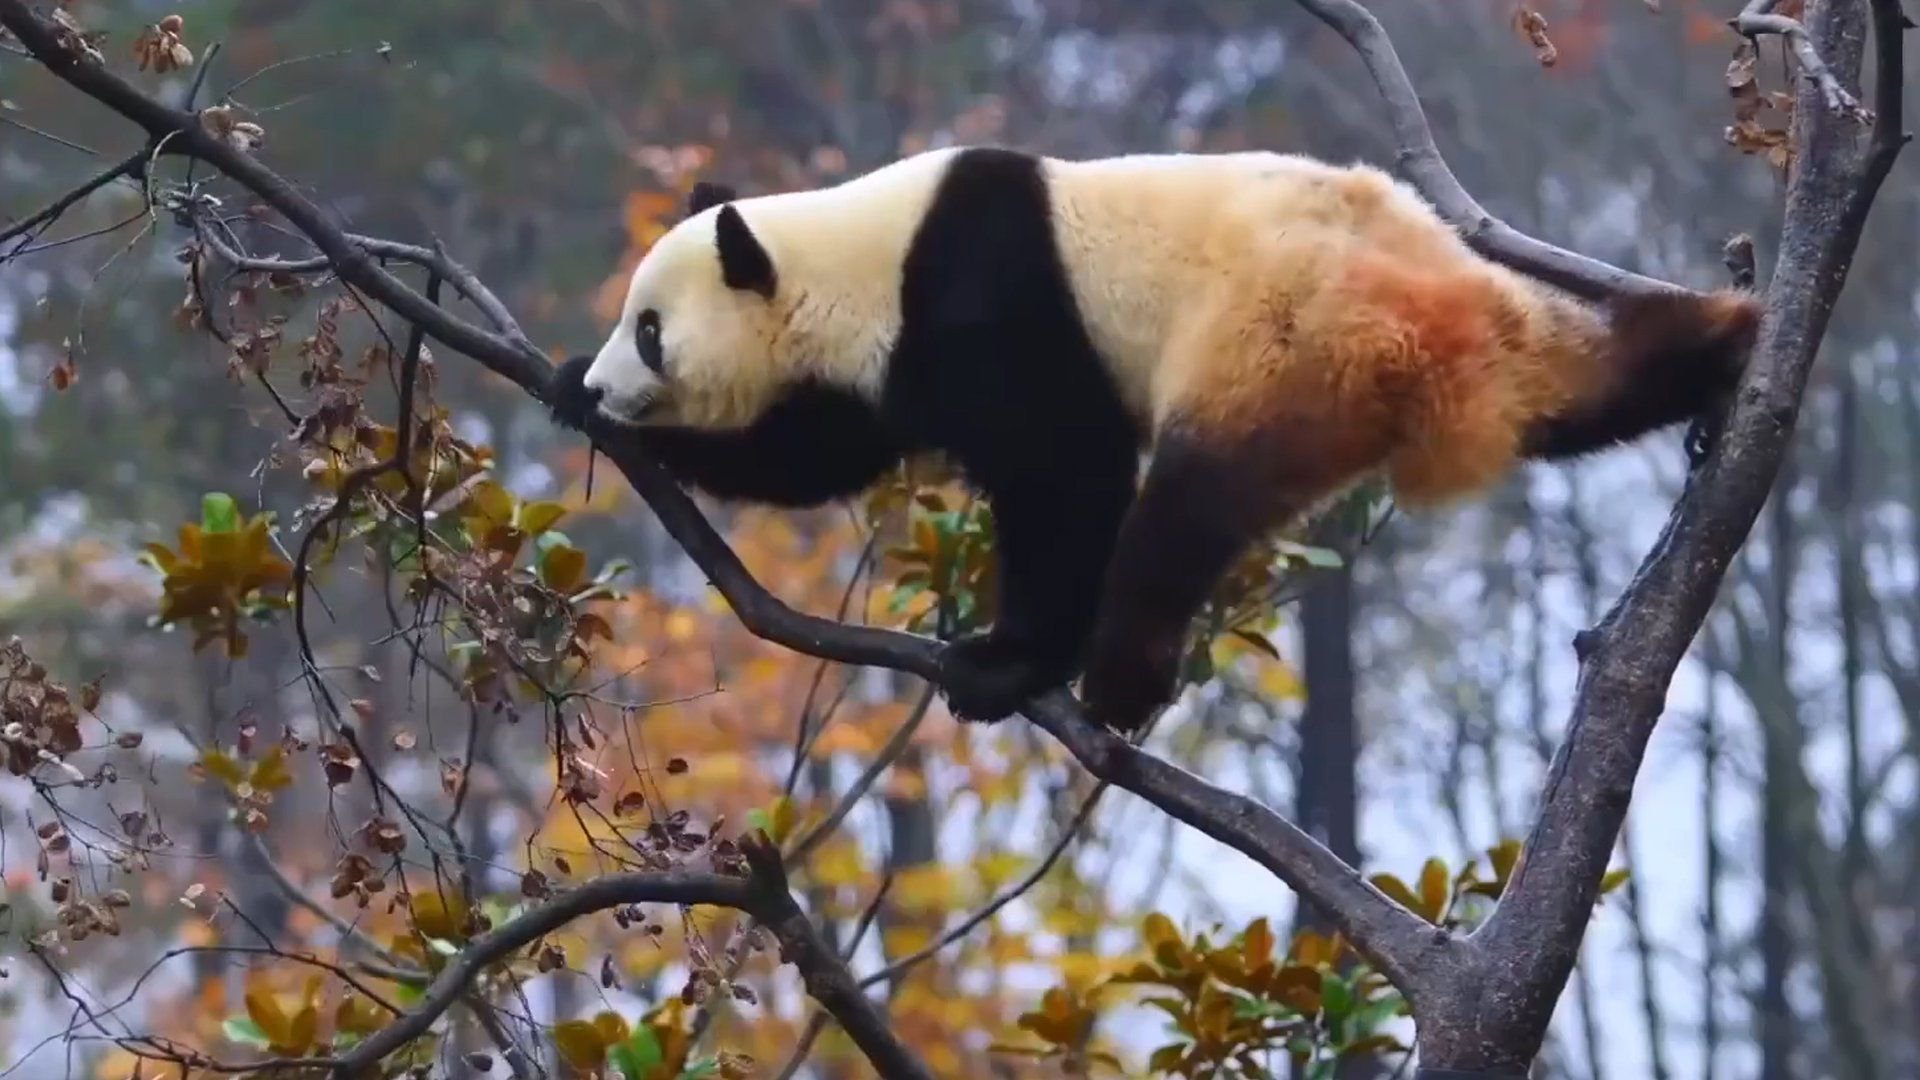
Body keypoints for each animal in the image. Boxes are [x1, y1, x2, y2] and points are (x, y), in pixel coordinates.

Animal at [549, 145, 1758, 730]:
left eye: (650, 329)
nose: (608, 378)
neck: (852, 252)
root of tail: (1421, 340)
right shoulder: (886, 366)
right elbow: (816, 458)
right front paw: (569, 396)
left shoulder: (983, 303)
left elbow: (1062, 470)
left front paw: (1006, 660)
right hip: (1485, 303)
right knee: (1591, 373)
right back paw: (1730, 344)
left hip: (1266, 346)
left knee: (1185, 508)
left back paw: (1120, 681)